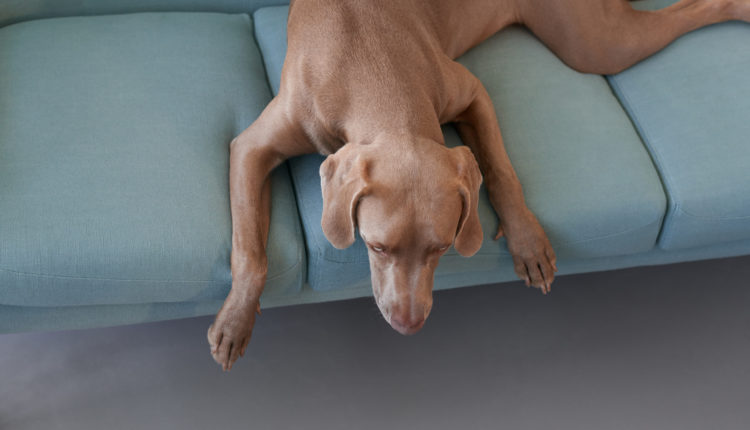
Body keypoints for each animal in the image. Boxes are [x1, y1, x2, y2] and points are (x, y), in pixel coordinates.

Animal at [207, 0, 750, 370]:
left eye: (442, 248)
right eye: (376, 247)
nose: (409, 325)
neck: (375, 74)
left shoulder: (471, 92)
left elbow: (500, 168)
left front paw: (528, 242)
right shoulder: (251, 148)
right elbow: (251, 250)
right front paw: (234, 323)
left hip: (594, 43)